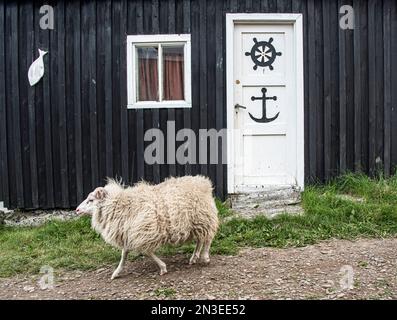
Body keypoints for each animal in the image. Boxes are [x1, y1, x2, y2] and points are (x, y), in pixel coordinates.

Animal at [76, 176, 218, 278]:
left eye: (91, 200)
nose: (76, 210)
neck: (121, 205)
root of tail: (202, 181)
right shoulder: (129, 233)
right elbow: (124, 254)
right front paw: (116, 272)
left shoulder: (145, 233)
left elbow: (146, 251)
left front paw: (163, 268)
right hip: (196, 223)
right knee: (201, 239)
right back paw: (194, 257)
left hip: (204, 218)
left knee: (208, 238)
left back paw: (205, 257)